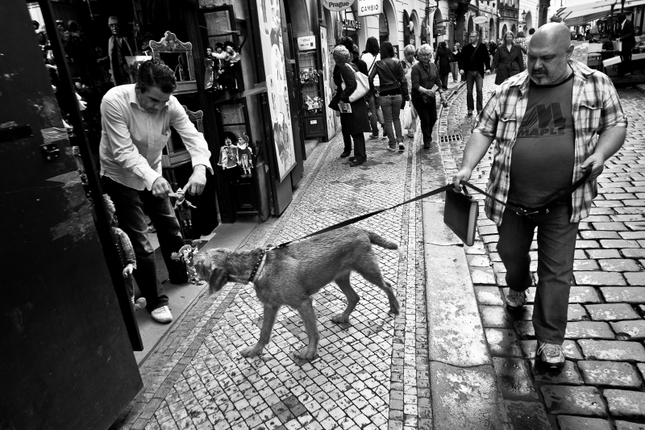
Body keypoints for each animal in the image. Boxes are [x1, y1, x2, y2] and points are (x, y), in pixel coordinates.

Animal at [194, 227, 400, 362]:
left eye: (198, 265)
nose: (191, 269)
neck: (258, 266)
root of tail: (362, 230)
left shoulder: (303, 303)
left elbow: (312, 332)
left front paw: (309, 353)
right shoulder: (270, 306)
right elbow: (264, 333)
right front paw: (254, 351)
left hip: (368, 270)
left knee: (388, 285)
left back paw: (394, 306)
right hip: (341, 277)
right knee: (354, 297)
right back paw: (343, 317)